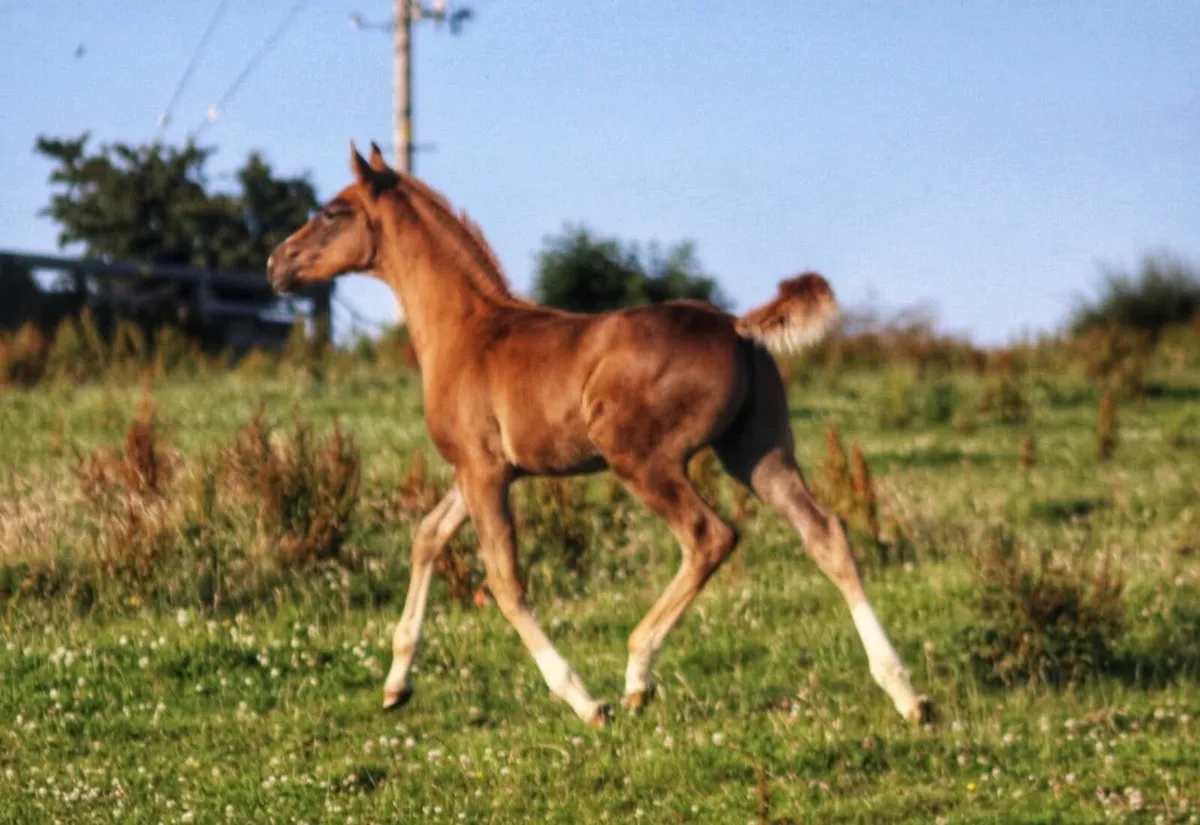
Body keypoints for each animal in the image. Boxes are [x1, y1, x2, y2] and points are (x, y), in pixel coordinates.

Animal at [267, 142, 931, 728]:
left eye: (332, 211)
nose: (276, 264)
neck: (466, 329)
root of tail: (738, 328)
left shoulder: (484, 472)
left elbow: (504, 581)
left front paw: (584, 700)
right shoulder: (477, 471)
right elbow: (427, 538)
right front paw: (396, 684)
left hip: (641, 458)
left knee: (709, 535)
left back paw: (637, 676)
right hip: (758, 453)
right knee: (826, 533)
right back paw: (906, 693)